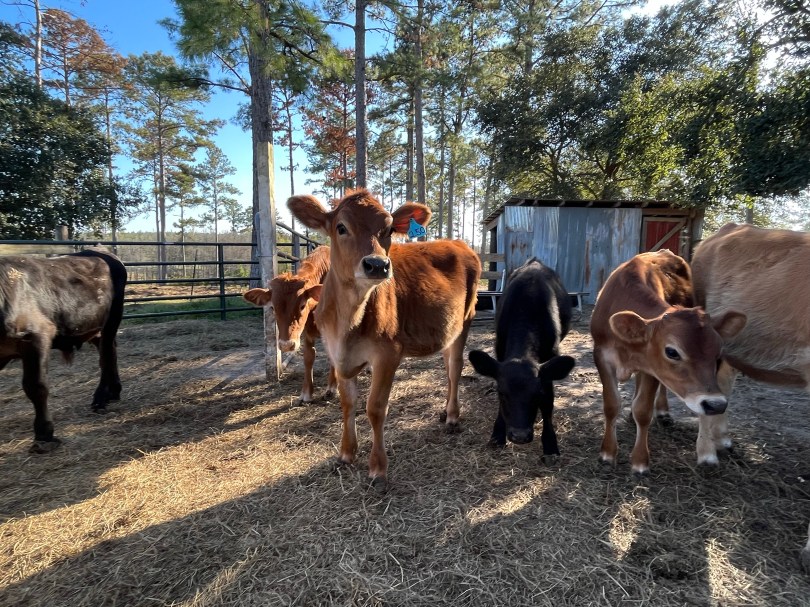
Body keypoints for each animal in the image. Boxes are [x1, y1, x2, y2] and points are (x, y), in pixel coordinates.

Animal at [0, 247, 127, 453]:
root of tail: (99, 249)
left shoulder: (37, 336)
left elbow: (36, 386)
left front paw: (44, 434)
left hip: (112, 319)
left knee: (107, 355)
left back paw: (101, 398)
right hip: (94, 327)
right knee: (109, 352)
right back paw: (112, 392)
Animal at [243, 245, 336, 404]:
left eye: (302, 305)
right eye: (273, 307)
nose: (286, 345)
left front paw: (332, 388)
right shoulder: (307, 332)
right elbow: (308, 357)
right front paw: (306, 393)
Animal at [287, 189, 481, 490]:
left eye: (389, 229)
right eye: (341, 227)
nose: (377, 264)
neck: (347, 322)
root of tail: (458, 242)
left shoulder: (388, 354)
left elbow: (375, 408)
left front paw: (378, 468)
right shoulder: (336, 353)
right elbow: (348, 403)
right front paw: (346, 453)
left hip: (466, 319)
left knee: (455, 368)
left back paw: (452, 416)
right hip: (447, 329)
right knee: (448, 365)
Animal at [468, 258, 575, 461]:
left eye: (537, 394)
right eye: (502, 393)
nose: (519, 436)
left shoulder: (549, 363)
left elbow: (548, 404)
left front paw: (550, 445)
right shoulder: (500, 352)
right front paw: (497, 435)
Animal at [590, 249, 746, 474]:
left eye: (718, 353)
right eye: (672, 352)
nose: (715, 404)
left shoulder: (652, 368)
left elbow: (643, 410)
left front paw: (639, 462)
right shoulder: (602, 356)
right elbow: (611, 405)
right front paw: (607, 454)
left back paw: (662, 412)